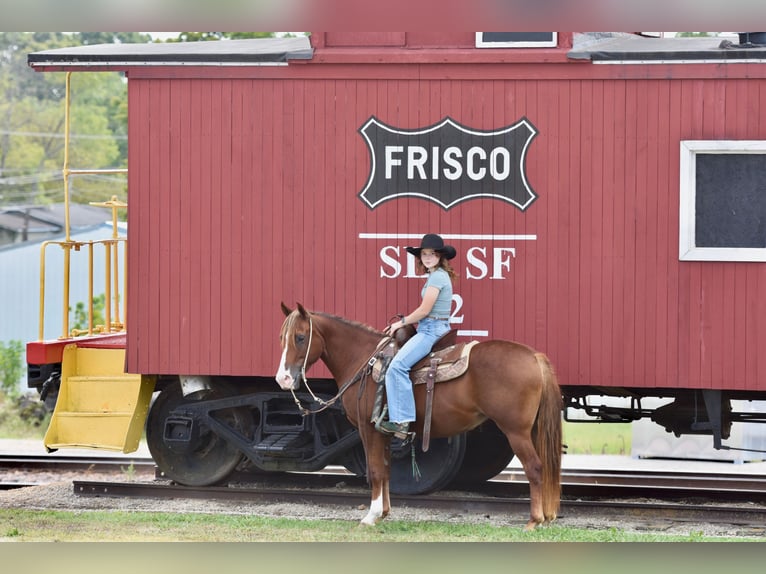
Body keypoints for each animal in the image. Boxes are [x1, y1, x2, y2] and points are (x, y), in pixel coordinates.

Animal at [275, 302, 563, 530]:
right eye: (281, 337)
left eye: (300, 337)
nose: (283, 379)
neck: (362, 360)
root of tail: (534, 357)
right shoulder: (384, 431)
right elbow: (386, 469)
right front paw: (384, 513)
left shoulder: (368, 429)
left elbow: (375, 470)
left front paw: (370, 516)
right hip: (531, 430)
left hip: (516, 431)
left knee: (535, 467)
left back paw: (535, 520)